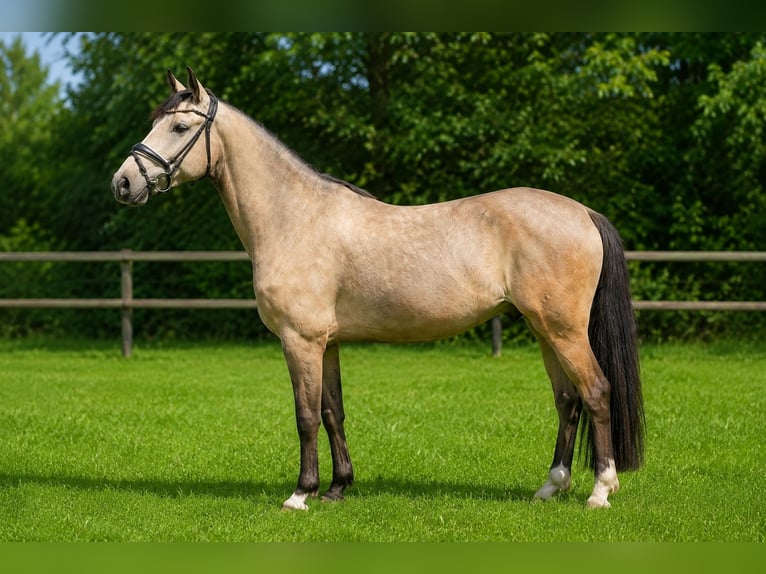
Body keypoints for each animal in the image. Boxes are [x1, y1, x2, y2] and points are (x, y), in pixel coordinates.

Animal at [111, 68, 644, 510]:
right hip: (544, 329)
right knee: (567, 400)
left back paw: (600, 491)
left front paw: (300, 495)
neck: (294, 217)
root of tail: (583, 212)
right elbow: (333, 413)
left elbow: (305, 416)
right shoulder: (326, 344)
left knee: (596, 392)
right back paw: (551, 487)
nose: (123, 182)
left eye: (180, 128)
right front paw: (337, 488)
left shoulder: (300, 341)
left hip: (563, 330)